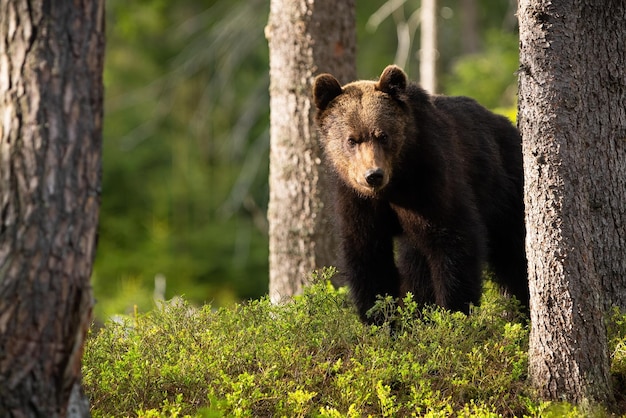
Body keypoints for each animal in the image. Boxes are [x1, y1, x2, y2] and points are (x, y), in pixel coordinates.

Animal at [312, 65, 528, 324]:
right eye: (352, 140)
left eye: (383, 135)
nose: (373, 175)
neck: (393, 187)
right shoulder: (357, 201)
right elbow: (368, 256)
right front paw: (381, 320)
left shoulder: (428, 183)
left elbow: (453, 242)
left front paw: (453, 314)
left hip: (506, 188)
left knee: (515, 253)